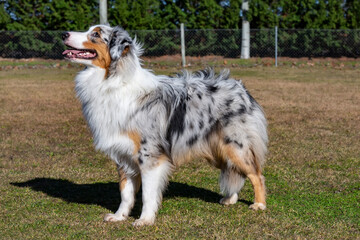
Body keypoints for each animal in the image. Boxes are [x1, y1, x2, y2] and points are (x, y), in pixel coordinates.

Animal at [62, 25, 268, 226]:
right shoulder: (123, 156)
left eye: (96, 34)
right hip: (218, 148)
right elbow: (126, 193)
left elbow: (147, 194)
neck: (111, 81)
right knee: (234, 170)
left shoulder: (149, 156)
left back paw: (259, 204)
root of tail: (241, 87)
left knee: (255, 174)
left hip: (235, 145)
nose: (64, 33)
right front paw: (119, 216)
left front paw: (145, 220)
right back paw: (230, 199)